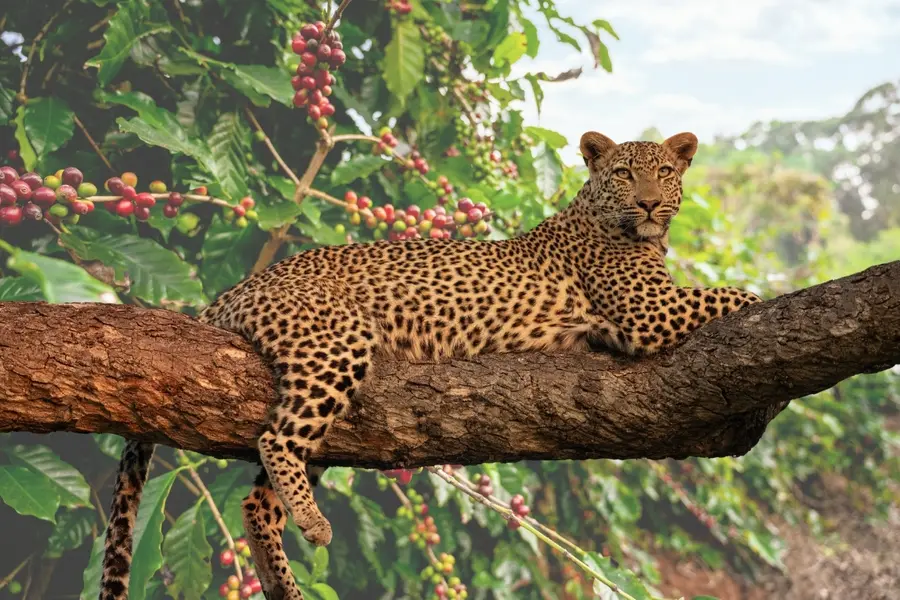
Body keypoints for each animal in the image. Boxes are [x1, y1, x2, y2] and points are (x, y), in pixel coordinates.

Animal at [98, 130, 762, 600]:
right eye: (625, 173)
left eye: (666, 173)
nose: (649, 203)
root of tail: (236, 288)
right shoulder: (652, 313)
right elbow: (737, 294)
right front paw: (763, 300)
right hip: (337, 344)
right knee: (276, 441)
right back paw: (312, 522)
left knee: (257, 500)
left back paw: (287, 579)